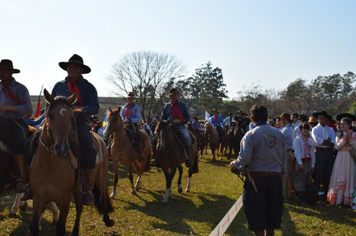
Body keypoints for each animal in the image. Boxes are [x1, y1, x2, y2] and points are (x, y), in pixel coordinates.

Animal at [28, 89, 113, 235]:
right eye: (50, 115)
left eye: (71, 117)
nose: (61, 149)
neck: (49, 167)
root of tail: (101, 140)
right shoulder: (38, 198)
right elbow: (34, 226)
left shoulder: (65, 200)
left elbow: (60, 229)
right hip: (78, 189)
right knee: (80, 207)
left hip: (100, 180)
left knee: (101, 198)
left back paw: (107, 220)